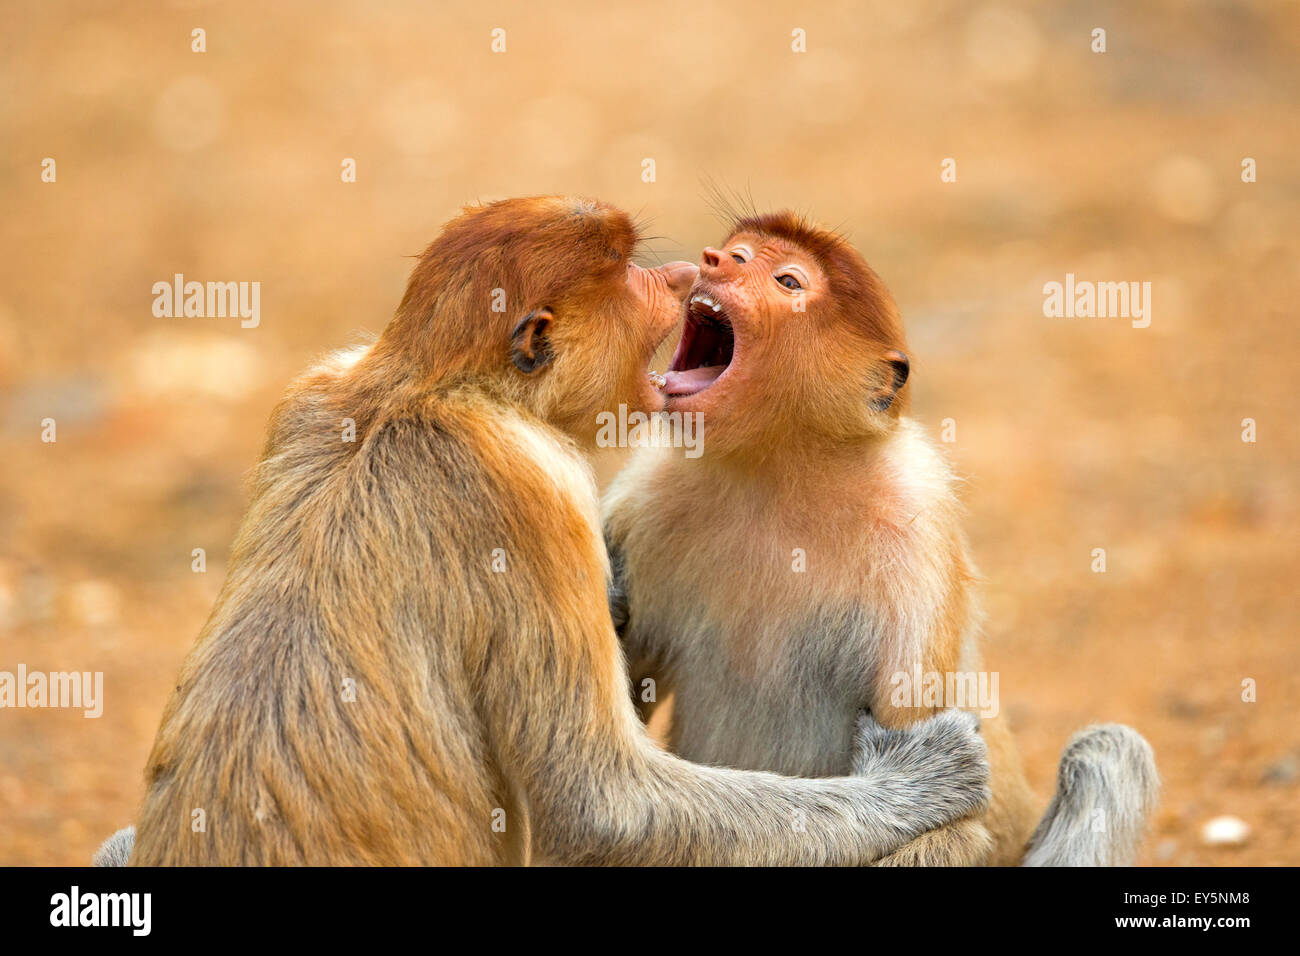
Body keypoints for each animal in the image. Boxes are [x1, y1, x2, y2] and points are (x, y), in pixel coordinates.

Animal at [97, 197, 992, 866]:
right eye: (626, 269)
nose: (688, 271)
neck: (423, 388)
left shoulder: (312, 390)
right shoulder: (537, 489)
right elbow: (599, 801)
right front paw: (927, 779)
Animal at [603, 210, 1159, 867]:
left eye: (788, 281)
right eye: (739, 251)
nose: (715, 260)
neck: (780, 471)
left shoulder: (913, 528)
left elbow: (950, 819)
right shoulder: (649, 491)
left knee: (1106, 752)